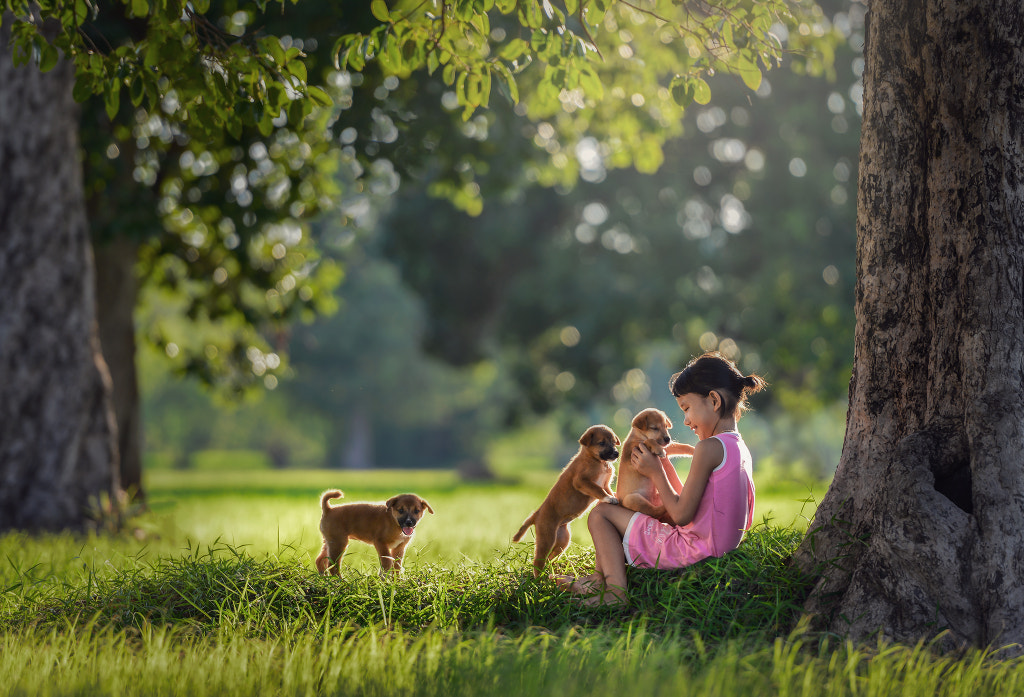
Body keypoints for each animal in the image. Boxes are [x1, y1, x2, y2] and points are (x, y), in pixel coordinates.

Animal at [516, 423, 618, 577]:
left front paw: (613, 496)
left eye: (613, 442)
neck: (596, 460)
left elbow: (607, 490)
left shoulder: (606, 484)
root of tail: (537, 514)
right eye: (602, 443)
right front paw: (609, 499)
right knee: (538, 560)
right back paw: (538, 579)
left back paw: (552, 571)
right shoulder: (582, 481)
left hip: (562, 540)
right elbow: (599, 491)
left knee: (550, 558)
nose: (616, 454)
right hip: (546, 538)